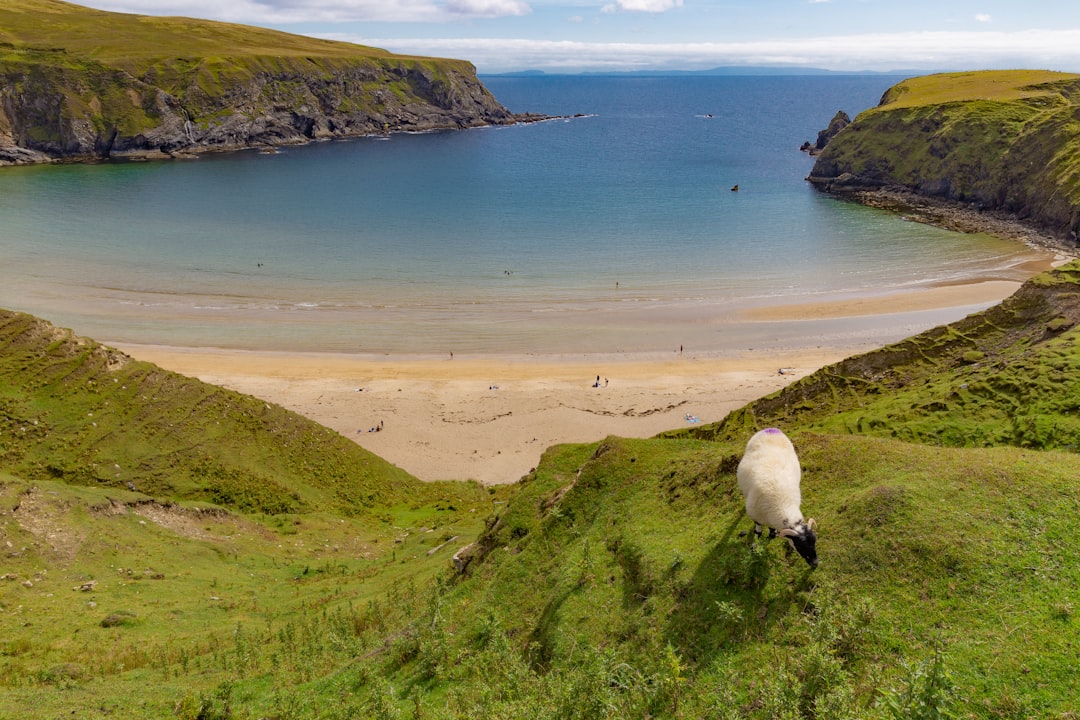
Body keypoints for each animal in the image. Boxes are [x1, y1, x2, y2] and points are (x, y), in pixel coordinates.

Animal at [734, 427, 816, 569]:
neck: (782, 505)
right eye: (800, 546)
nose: (815, 564)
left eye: (815, 541)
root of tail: (772, 429)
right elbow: (758, 532)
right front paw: (756, 546)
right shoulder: (756, 517)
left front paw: (771, 535)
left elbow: (772, 531)